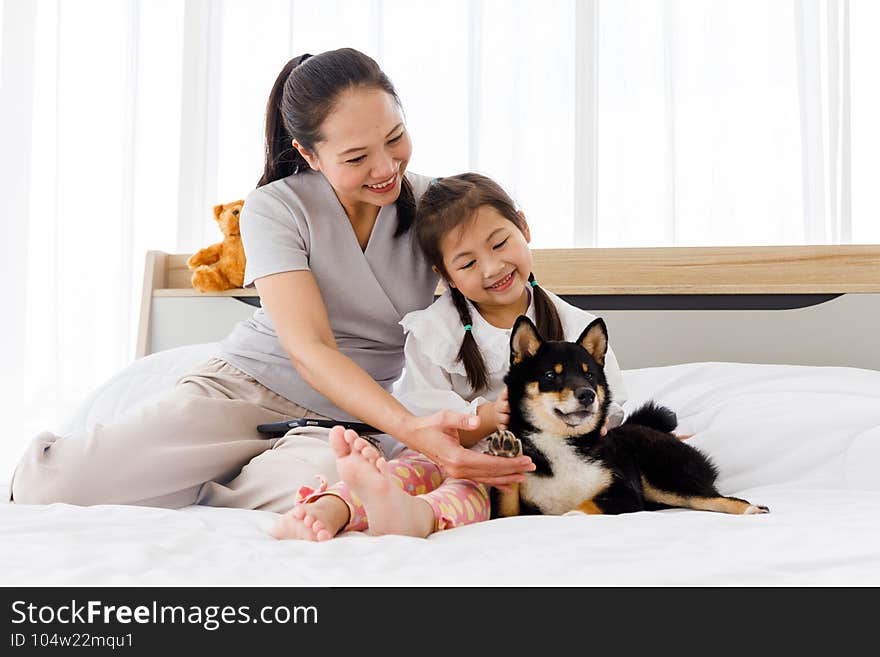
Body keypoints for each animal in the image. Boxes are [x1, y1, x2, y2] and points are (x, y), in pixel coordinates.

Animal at [488, 316, 768, 516]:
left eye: (589, 375)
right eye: (550, 375)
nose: (588, 394)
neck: (564, 443)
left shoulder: (626, 494)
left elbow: (586, 505)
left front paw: (571, 514)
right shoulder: (513, 513)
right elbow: (507, 497)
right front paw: (506, 453)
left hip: (663, 479)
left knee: (713, 497)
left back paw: (750, 508)